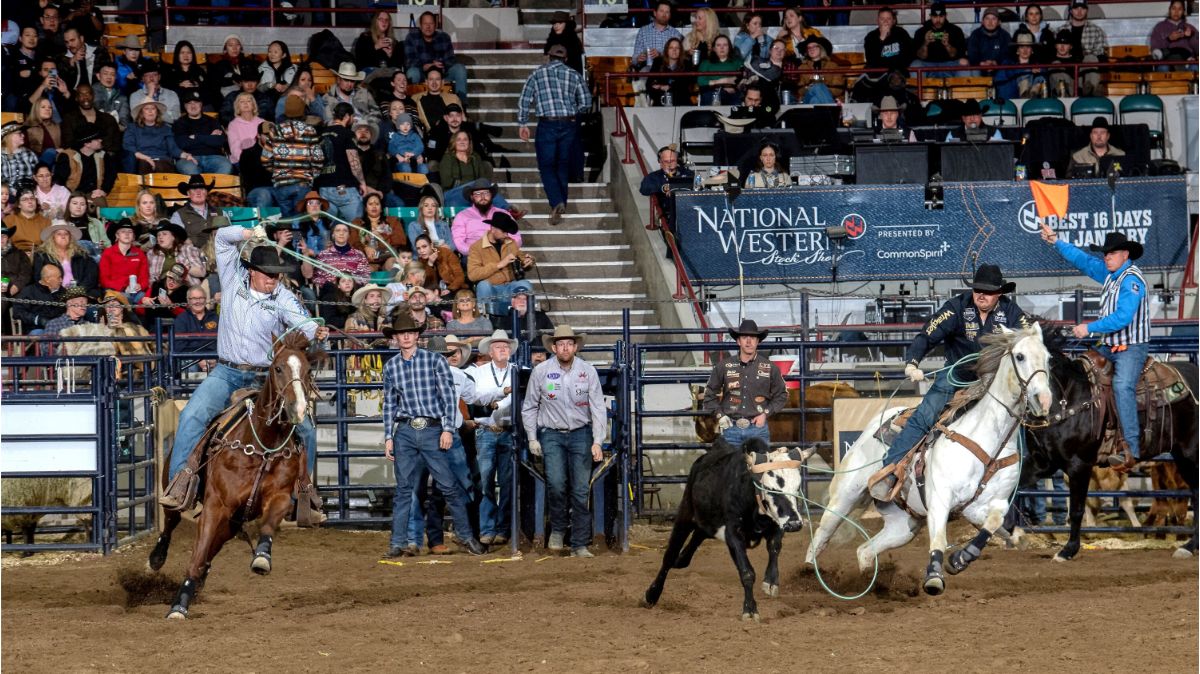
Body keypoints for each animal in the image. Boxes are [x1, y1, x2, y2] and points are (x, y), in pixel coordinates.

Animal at [145, 331, 324, 618]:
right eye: (278, 368)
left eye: (308, 370)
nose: (296, 409)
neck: (262, 446)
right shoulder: (216, 505)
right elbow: (196, 554)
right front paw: (178, 606)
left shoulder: (279, 497)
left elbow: (268, 525)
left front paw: (262, 557)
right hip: (177, 490)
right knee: (171, 523)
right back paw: (156, 559)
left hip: (233, 521)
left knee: (214, 545)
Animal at [643, 436, 811, 618]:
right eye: (769, 488)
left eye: (797, 488)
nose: (795, 524)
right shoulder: (733, 533)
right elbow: (747, 572)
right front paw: (750, 609)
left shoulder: (776, 525)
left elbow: (774, 548)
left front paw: (770, 582)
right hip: (686, 512)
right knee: (670, 555)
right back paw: (653, 593)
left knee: (699, 534)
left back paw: (682, 560)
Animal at [806, 326, 1051, 592]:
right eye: (1020, 356)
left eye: (1048, 358)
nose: (1043, 400)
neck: (989, 442)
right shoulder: (940, 499)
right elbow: (939, 540)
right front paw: (934, 576)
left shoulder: (987, 505)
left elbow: (993, 525)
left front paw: (960, 559)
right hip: (845, 497)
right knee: (821, 536)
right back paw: (807, 574)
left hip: (903, 526)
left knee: (865, 551)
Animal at [1017, 333, 1195, 558]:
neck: (1066, 398)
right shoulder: (1043, 462)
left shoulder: (1079, 464)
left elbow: (1077, 510)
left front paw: (1068, 550)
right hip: (1182, 456)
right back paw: (1188, 547)